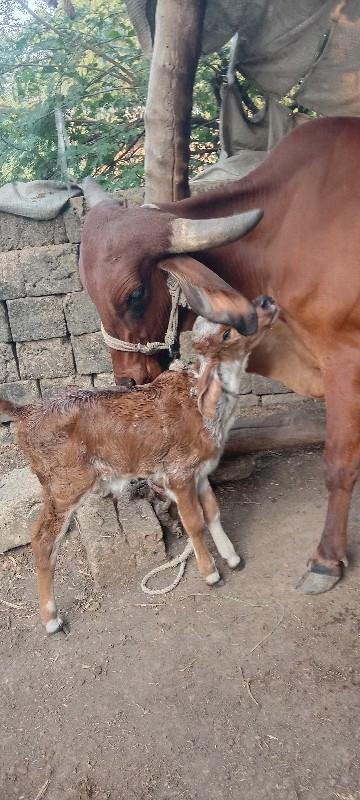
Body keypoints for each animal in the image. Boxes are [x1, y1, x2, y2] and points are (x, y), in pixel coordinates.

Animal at [80, 119, 360, 592]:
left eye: (135, 294)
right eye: (89, 294)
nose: (128, 381)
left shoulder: (346, 359)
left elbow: (339, 461)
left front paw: (326, 561)